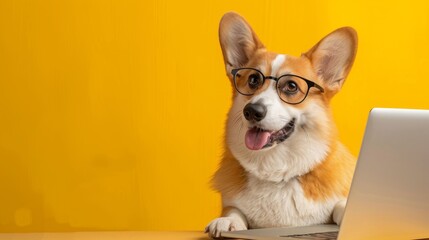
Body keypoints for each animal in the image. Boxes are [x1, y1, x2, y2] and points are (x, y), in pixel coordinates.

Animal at [206, 12, 356, 237]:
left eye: (291, 86)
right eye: (253, 80)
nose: (252, 111)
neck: (277, 174)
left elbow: (341, 204)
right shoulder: (231, 204)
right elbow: (233, 211)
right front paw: (227, 221)